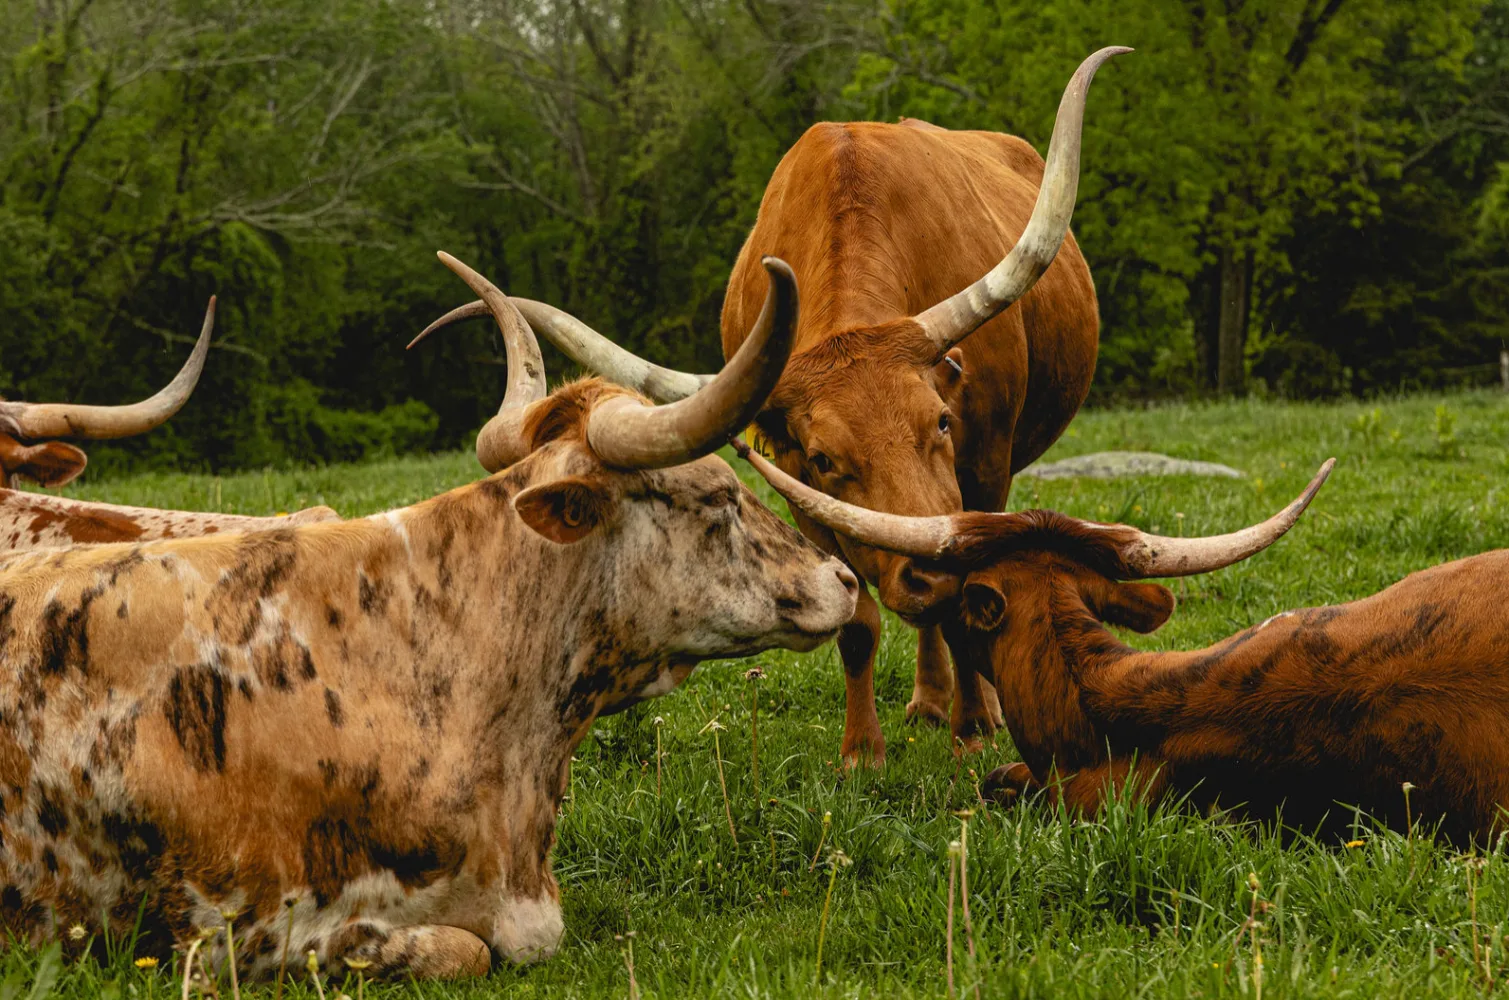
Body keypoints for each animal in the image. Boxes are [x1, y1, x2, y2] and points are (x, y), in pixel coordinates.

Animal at [410, 48, 1130, 765]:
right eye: (824, 457)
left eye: (942, 422)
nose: (930, 573)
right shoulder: (800, 491)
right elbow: (859, 622)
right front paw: (862, 751)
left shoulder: (986, 462)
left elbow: (966, 600)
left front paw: (975, 728)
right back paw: (925, 701)